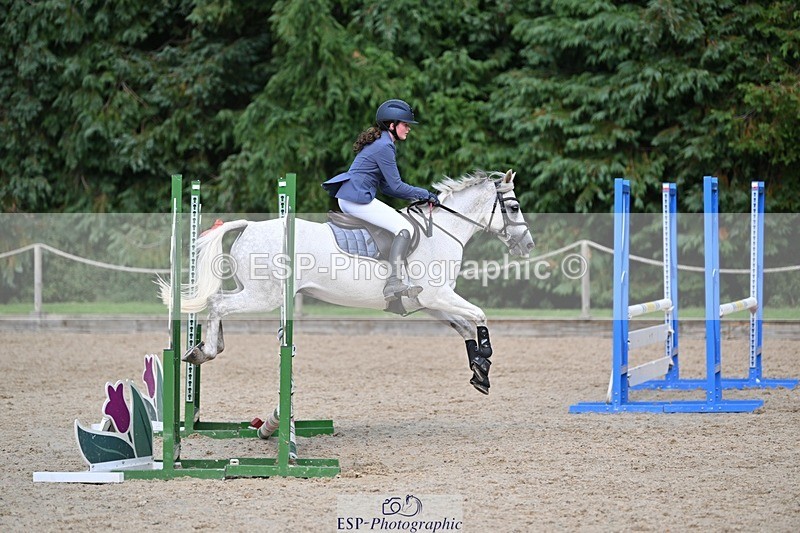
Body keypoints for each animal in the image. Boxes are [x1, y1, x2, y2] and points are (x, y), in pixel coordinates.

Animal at [159, 169, 534, 394]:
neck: (443, 232)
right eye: (514, 207)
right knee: (217, 303)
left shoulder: (430, 303)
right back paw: (207, 350)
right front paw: (485, 360)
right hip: (263, 297)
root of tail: (248, 225)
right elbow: (480, 316)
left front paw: (480, 373)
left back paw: (202, 348)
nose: (528, 245)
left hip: (254, 291)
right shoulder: (438, 296)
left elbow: (466, 327)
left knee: (217, 302)